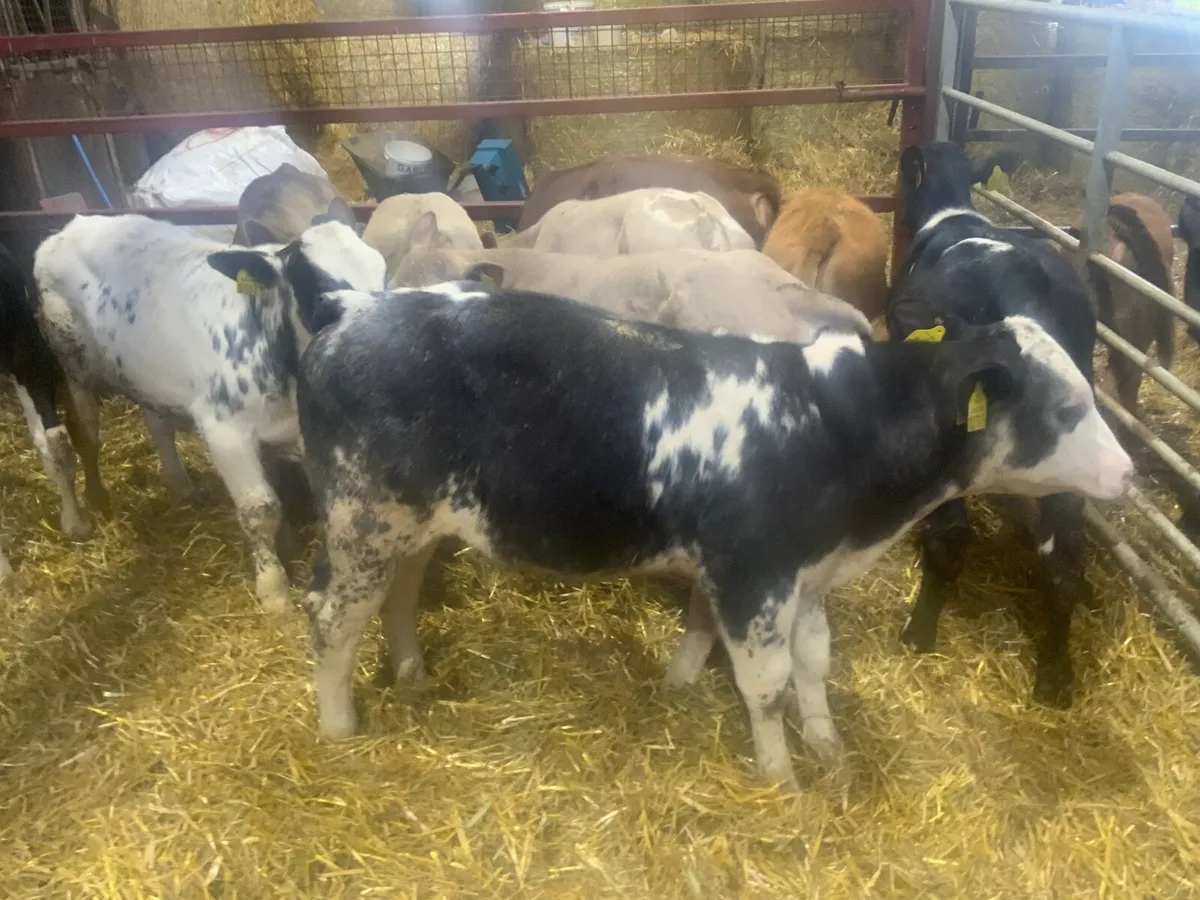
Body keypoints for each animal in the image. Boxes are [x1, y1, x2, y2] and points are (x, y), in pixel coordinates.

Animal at [31, 214, 386, 614]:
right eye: (321, 291)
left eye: (383, 273)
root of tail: (74, 224)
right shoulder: (225, 431)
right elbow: (260, 509)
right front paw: (274, 589)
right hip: (73, 363)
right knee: (86, 431)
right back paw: (90, 500)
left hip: (148, 376)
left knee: (157, 423)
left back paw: (179, 483)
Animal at [295, 282, 1131, 791]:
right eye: (1066, 410)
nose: (1128, 473)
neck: (837, 424)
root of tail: (353, 310)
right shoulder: (753, 571)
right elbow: (764, 682)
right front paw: (781, 775)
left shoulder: (805, 572)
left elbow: (812, 662)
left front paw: (825, 746)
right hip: (362, 518)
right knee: (331, 617)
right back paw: (337, 727)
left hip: (412, 523)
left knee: (397, 596)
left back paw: (410, 670)